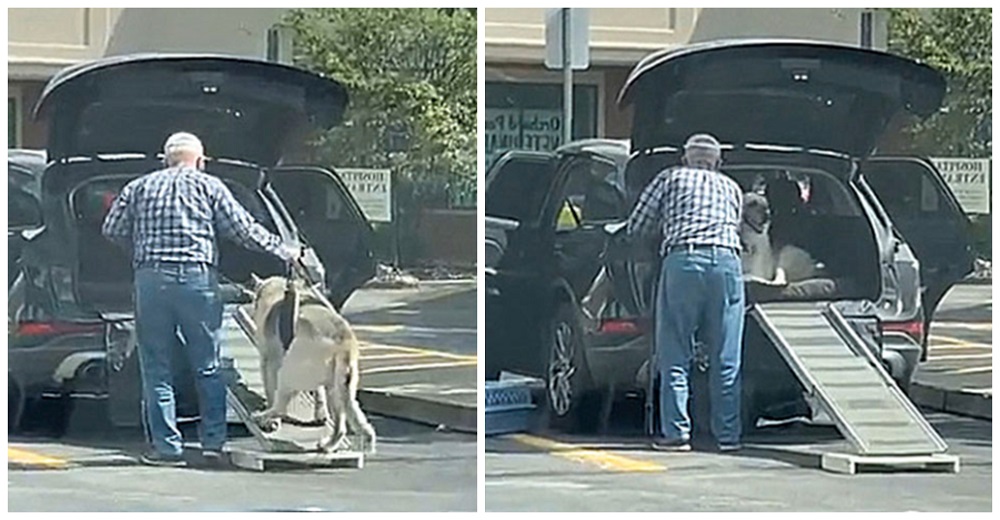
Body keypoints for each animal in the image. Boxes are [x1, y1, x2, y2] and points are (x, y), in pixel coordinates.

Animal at [248, 274, 376, 452]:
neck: (277, 292)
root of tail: (343, 343)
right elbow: (318, 394)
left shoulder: (268, 362)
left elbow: (270, 390)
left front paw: (270, 419)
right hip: (339, 388)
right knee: (342, 426)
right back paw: (329, 444)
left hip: (288, 373)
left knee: (280, 405)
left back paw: (263, 416)